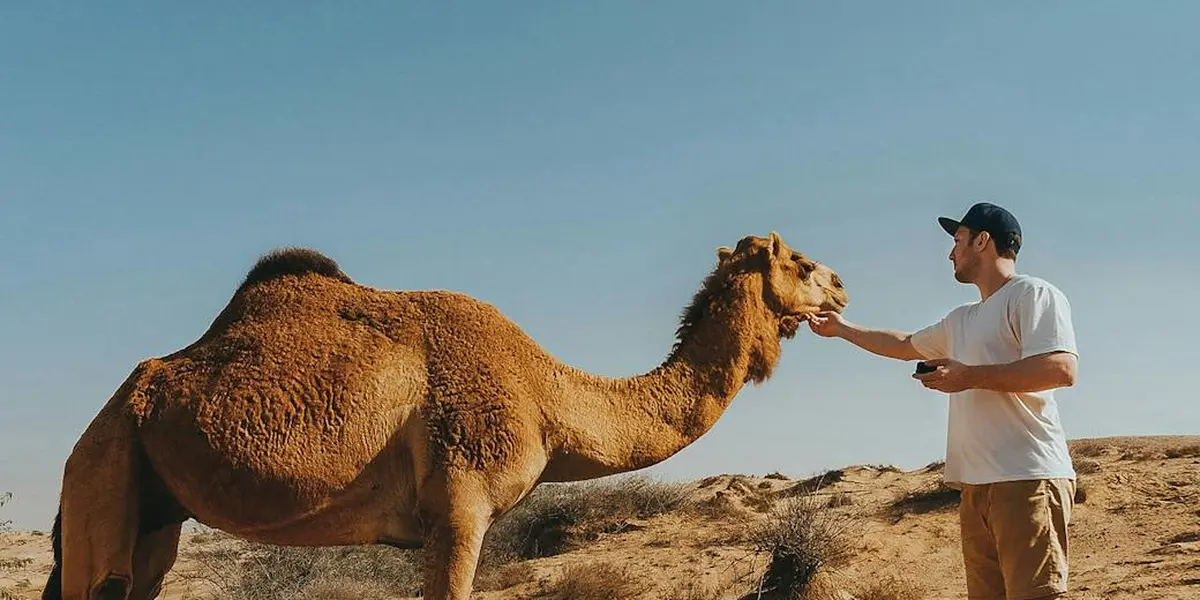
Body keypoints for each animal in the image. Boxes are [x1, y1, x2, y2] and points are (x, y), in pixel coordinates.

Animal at [41, 231, 848, 600]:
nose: (842, 286)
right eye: (802, 262)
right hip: (103, 468)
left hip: (152, 508)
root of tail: (116, 405)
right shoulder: (461, 504)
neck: (545, 396)